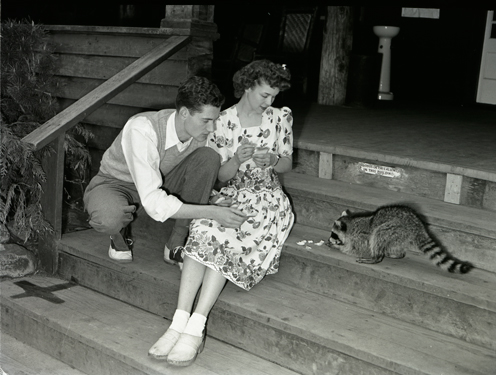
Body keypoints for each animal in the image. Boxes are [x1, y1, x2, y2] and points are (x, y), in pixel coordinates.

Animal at [328, 206, 474, 274]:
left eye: (333, 234)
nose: (330, 239)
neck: (351, 224)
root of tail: (418, 227)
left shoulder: (360, 237)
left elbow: (355, 249)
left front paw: (339, 247)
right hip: (400, 236)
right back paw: (396, 254)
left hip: (395, 228)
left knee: (379, 234)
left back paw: (376, 257)